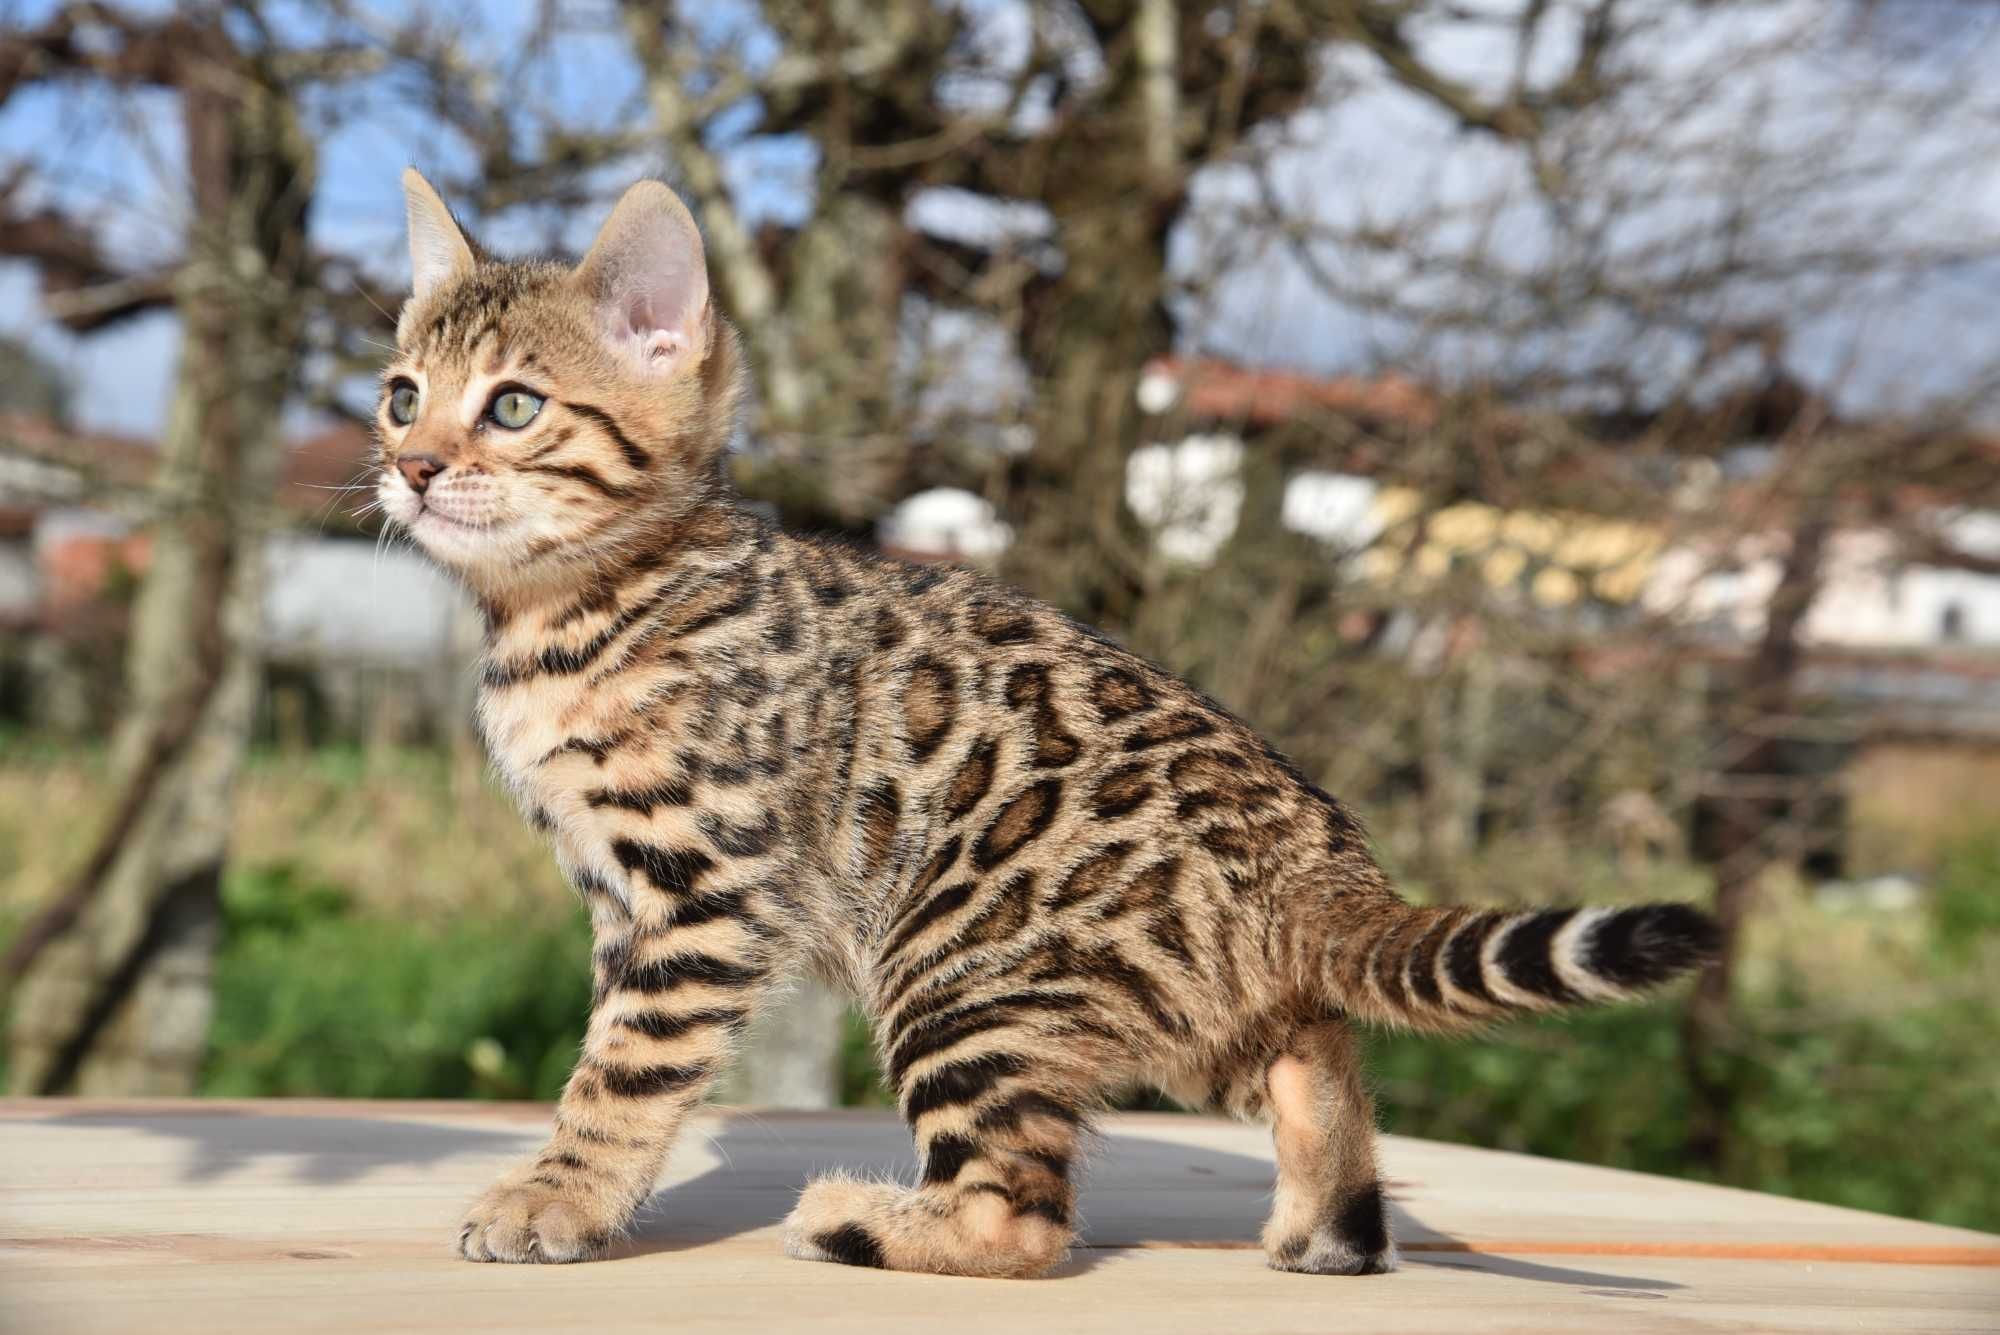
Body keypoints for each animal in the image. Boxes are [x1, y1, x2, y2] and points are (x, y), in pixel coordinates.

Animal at [378, 171, 1720, 1279]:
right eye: (401, 397)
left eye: (511, 407)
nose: (411, 467)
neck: (583, 607)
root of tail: (1313, 854)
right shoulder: (623, 899)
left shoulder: (703, 892)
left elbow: (623, 1068)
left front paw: (556, 1200)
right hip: (1160, 1003)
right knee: (1312, 1051)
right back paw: (1327, 1229)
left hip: (961, 970)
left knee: (1023, 1217)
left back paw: (860, 1220)